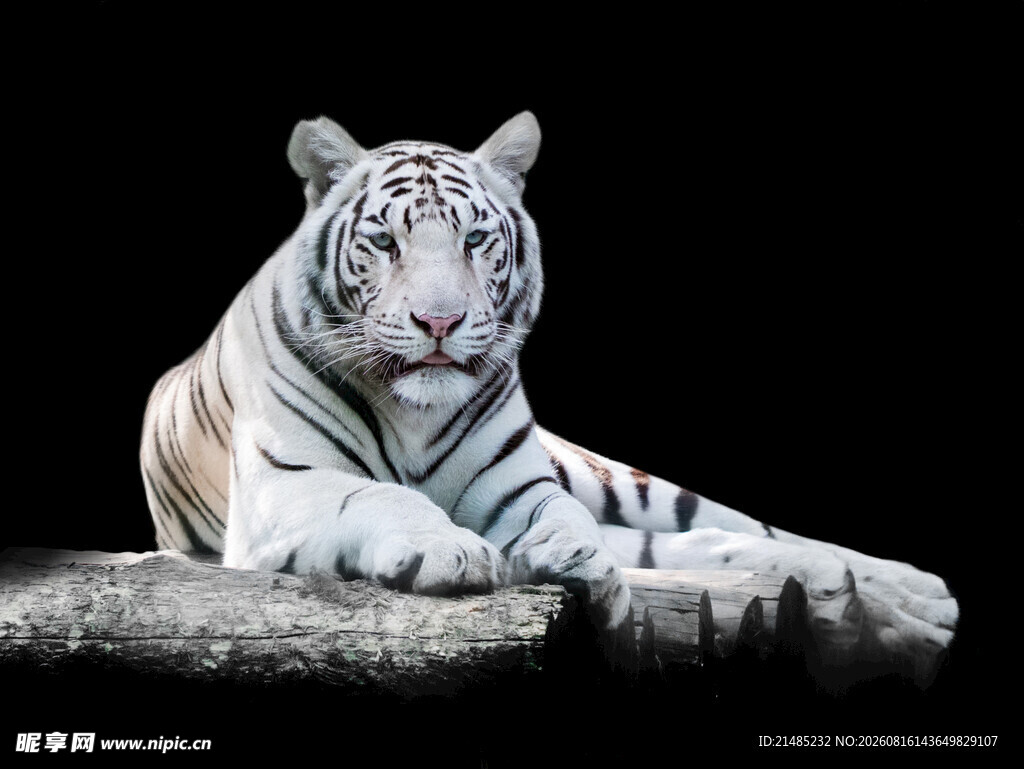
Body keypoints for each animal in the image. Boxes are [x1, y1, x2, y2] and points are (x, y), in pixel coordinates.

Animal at [140, 112, 957, 667]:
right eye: (384, 242)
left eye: (474, 239)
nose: (440, 321)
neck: (413, 412)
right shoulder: (283, 486)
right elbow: (381, 495)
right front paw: (453, 550)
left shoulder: (520, 485)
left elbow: (562, 515)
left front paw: (579, 564)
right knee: (705, 544)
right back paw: (858, 597)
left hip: (615, 477)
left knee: (738, 527)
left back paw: (914, 595)